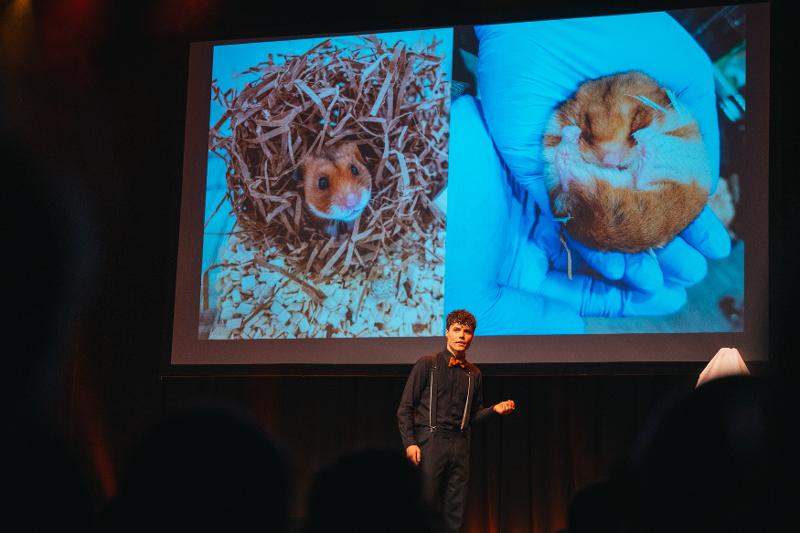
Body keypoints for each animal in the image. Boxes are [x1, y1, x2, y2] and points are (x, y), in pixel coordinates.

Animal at [444, 12, 732, 330]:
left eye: (635, 120)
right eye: (588, 127)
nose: (609, 161)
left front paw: (642, 136)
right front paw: (575, 135)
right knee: (570, 175)